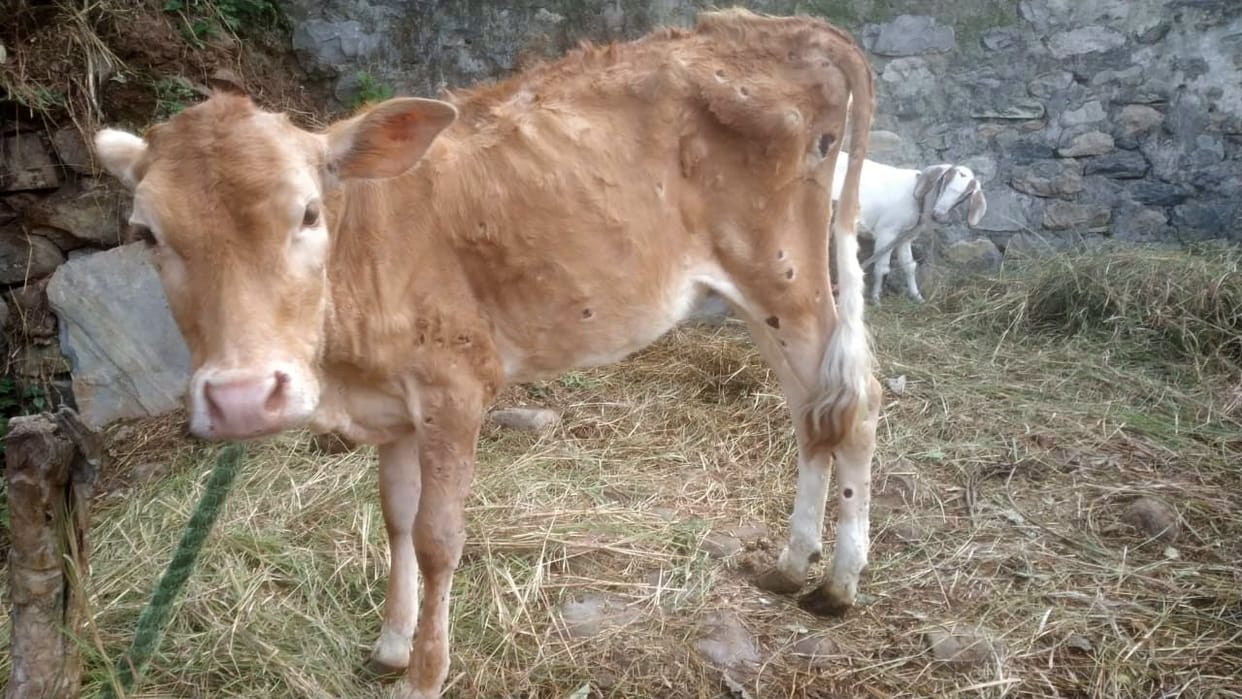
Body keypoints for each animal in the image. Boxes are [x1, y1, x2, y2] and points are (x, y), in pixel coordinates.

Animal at [92, 9, 882, 698]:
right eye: (147, 234)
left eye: (308, 212)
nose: (243, 398)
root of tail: (778, 25)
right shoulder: (394, 405)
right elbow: (396, 516)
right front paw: (390, 644)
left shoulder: (455, 385)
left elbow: (437, 537)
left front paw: (424, 674)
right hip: (758, 292)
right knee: (812, 411)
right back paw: (791, 565)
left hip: (786, 272)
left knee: (858, 404)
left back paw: (839, 583)